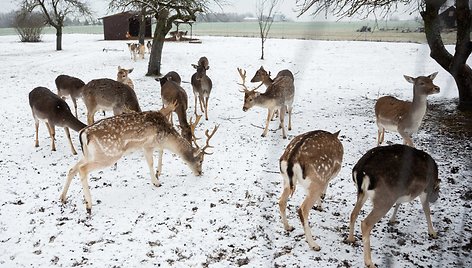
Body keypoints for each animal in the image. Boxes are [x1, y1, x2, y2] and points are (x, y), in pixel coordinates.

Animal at [58, 102, 218, 214]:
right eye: (201, 161)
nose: (200, 173)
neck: (167, 136)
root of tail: (84, 133)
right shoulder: (147, 144)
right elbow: (150, 161)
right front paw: (156, 182)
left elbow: (157, 156)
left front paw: (158, 176)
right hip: (108, 155)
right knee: (82, 169)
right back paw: (89, 206)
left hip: (90, 154)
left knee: (72, 168)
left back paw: (63, 198)